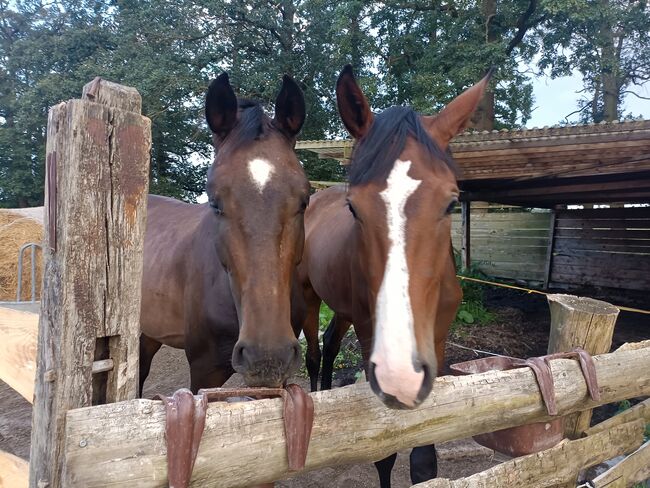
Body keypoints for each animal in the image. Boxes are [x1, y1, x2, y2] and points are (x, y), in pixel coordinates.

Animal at [296, 66, 488, 486]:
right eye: (354, 207)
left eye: (452, 203)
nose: (401, 373)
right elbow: (384, 454)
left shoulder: (436, 343)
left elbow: (424, 461)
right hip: (306, 297)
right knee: (314, 354)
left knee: (331, 344)